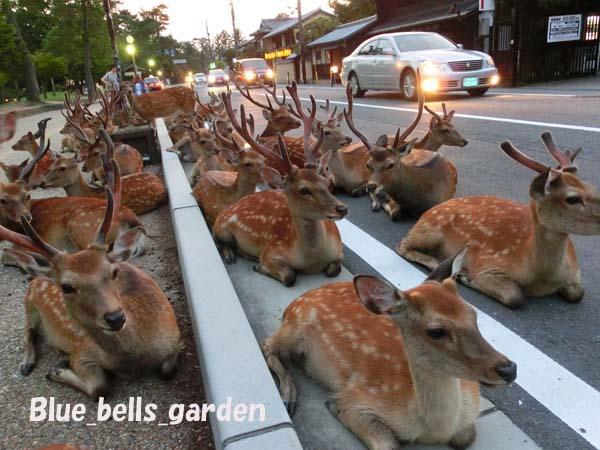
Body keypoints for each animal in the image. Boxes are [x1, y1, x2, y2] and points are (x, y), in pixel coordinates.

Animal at [1, 184, 182, 398]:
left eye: (114, 272)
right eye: (66, 287)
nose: (115, 318)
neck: (135, 361)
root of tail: (37, 275)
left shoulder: (175, 339)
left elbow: (168, 371)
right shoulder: (82, 350)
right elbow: (99, 388)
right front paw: (57, 369)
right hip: (29, 303)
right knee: (28, 329)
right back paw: (26, 363)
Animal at [213, 91, 347, 286]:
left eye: (324, 181)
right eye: (303, 190)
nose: (342, 208)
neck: (312, 259)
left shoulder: (339, 250)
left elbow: (333, 270)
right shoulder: (271, 251)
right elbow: (290, 276)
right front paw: (258, 266)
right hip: (221, 228)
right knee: (219, 241)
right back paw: (234, 255)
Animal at [263, 248, 516, 449]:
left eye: (474, 314)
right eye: (436, 331)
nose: (509, 369)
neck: (431, 430)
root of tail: (293, 303)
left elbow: (466, 437)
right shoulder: (357, 398)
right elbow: (387, 443)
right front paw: (333, 407)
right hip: (295, 327)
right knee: (268, 345)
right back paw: (289, 397)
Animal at [398, 131, 600, 309]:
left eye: (591, 186)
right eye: (572, 198)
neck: (543, 277)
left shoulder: (574, 271)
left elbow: (578, 293)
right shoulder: (488, 264)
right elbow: (515, 296)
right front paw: (466, 277)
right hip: (429, 229)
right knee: (403, 245)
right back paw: (435, 262)